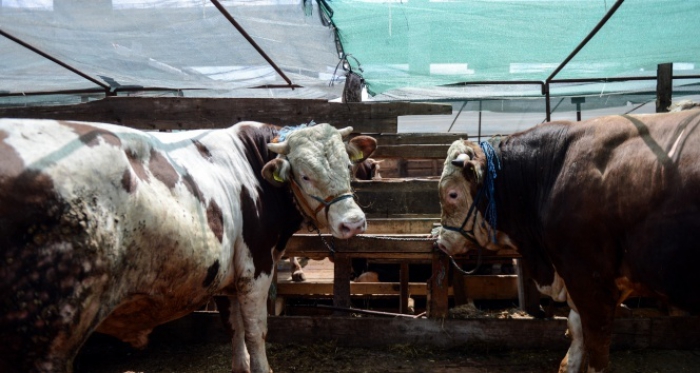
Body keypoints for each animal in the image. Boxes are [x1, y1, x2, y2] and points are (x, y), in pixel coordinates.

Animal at [0, 119, 378, 372]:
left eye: (348, 165)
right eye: (304, 175)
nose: (353, 223)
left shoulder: (229, 277)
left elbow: (234, 329)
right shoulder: (255, 269)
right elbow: (256, 331)